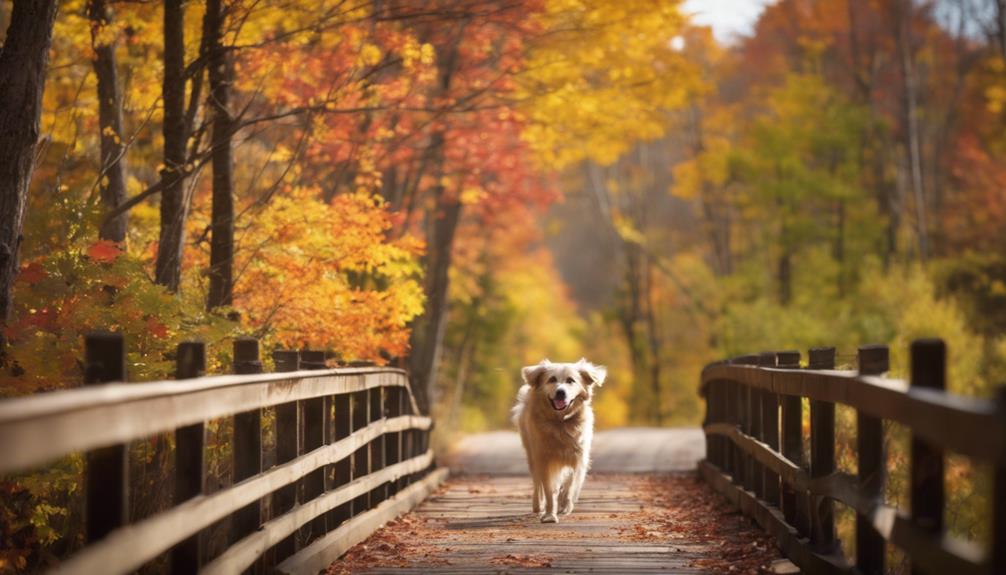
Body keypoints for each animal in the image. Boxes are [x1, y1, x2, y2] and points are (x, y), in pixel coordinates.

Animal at [511, 357, 603, 522]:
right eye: (552, 379)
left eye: (570, 380)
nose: (561, 392)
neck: (560, 423)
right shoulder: (544, 458)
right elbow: (548, 489)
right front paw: (549, 515)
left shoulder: (578, 457)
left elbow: (570, 484)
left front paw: (565, 504)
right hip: (531, 455)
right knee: (537, 482)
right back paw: (538, 505)